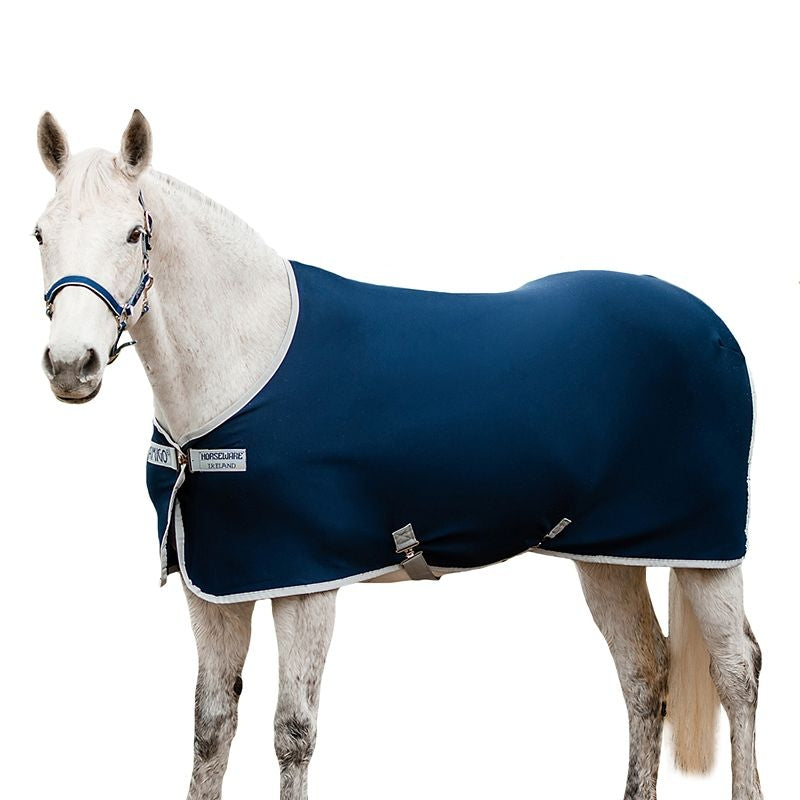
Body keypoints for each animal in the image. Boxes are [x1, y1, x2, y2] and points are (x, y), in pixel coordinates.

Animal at [34, 109, 763, 800]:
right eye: (40, 233)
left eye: (134, 234)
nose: (72, 366)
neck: (244, 364)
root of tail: (709, 324)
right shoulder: (214, 585)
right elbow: (210, 728)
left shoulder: (306, 581)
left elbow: (292, 732)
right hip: (608, 555)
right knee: (644, 672)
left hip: (708, 550)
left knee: (737, 670)